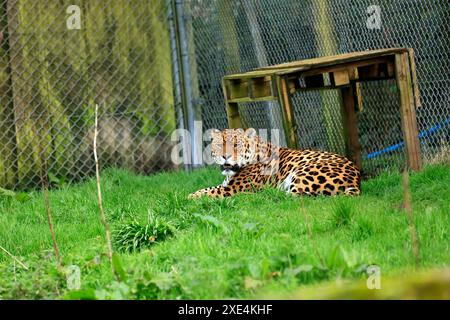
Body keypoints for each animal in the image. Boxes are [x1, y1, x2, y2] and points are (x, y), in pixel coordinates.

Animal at [188, 127, 360, 198]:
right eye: (219, 145)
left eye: (236, 145)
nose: (226, 156)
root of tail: (356, 182)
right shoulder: (226, 185)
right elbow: (205, 189)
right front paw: (190, 194)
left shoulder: (232, 189)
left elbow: (208, 193)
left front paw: (190, 199)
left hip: (305, 170)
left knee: (292, 196)